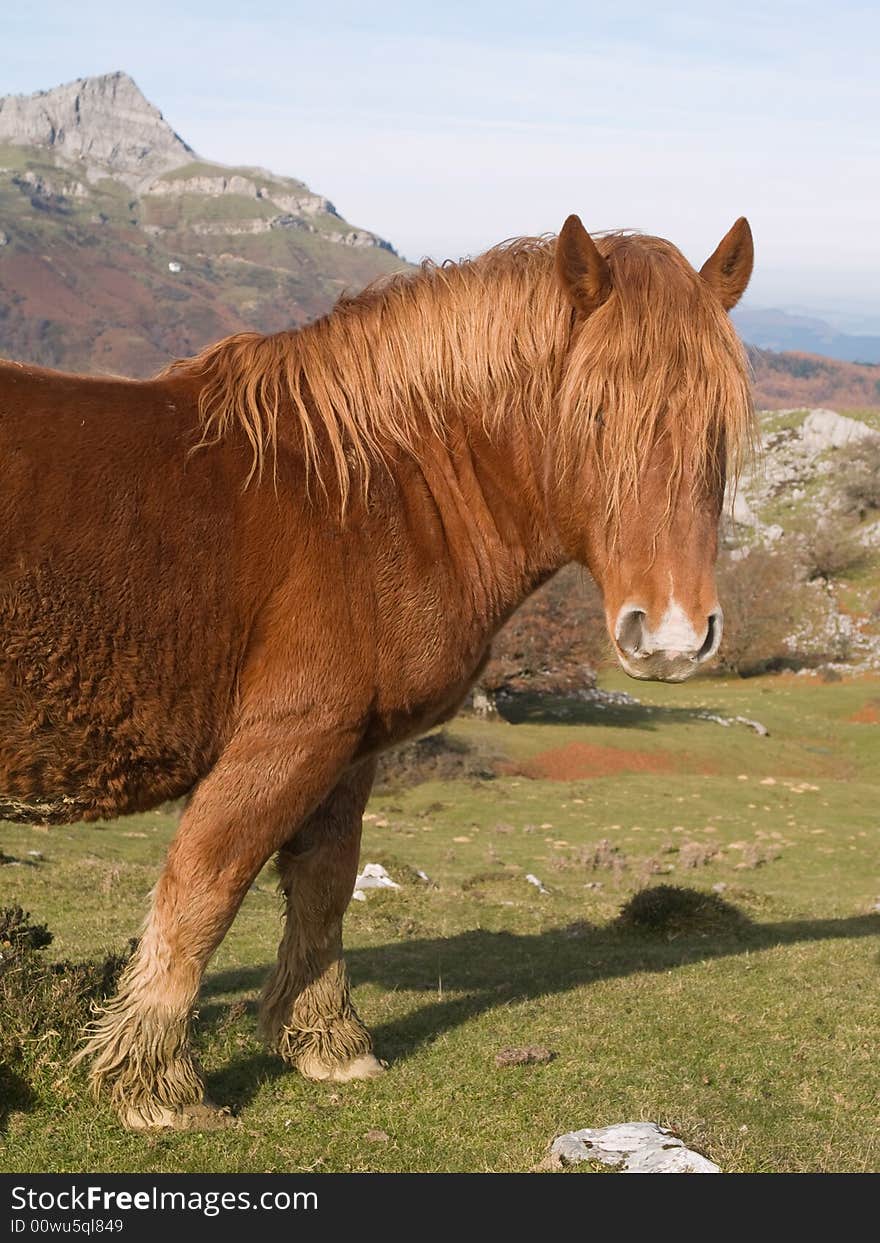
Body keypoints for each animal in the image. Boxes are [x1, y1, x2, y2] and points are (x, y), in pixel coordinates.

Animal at [1, 213, 755, 1128]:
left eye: (721, 423)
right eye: (597, 410)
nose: (674, 634)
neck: (367, 492)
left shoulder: (345, 751)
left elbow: (325, 885)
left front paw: (326, 1041)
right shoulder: (288, 740)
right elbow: (204, 888)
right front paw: (156, 1082)